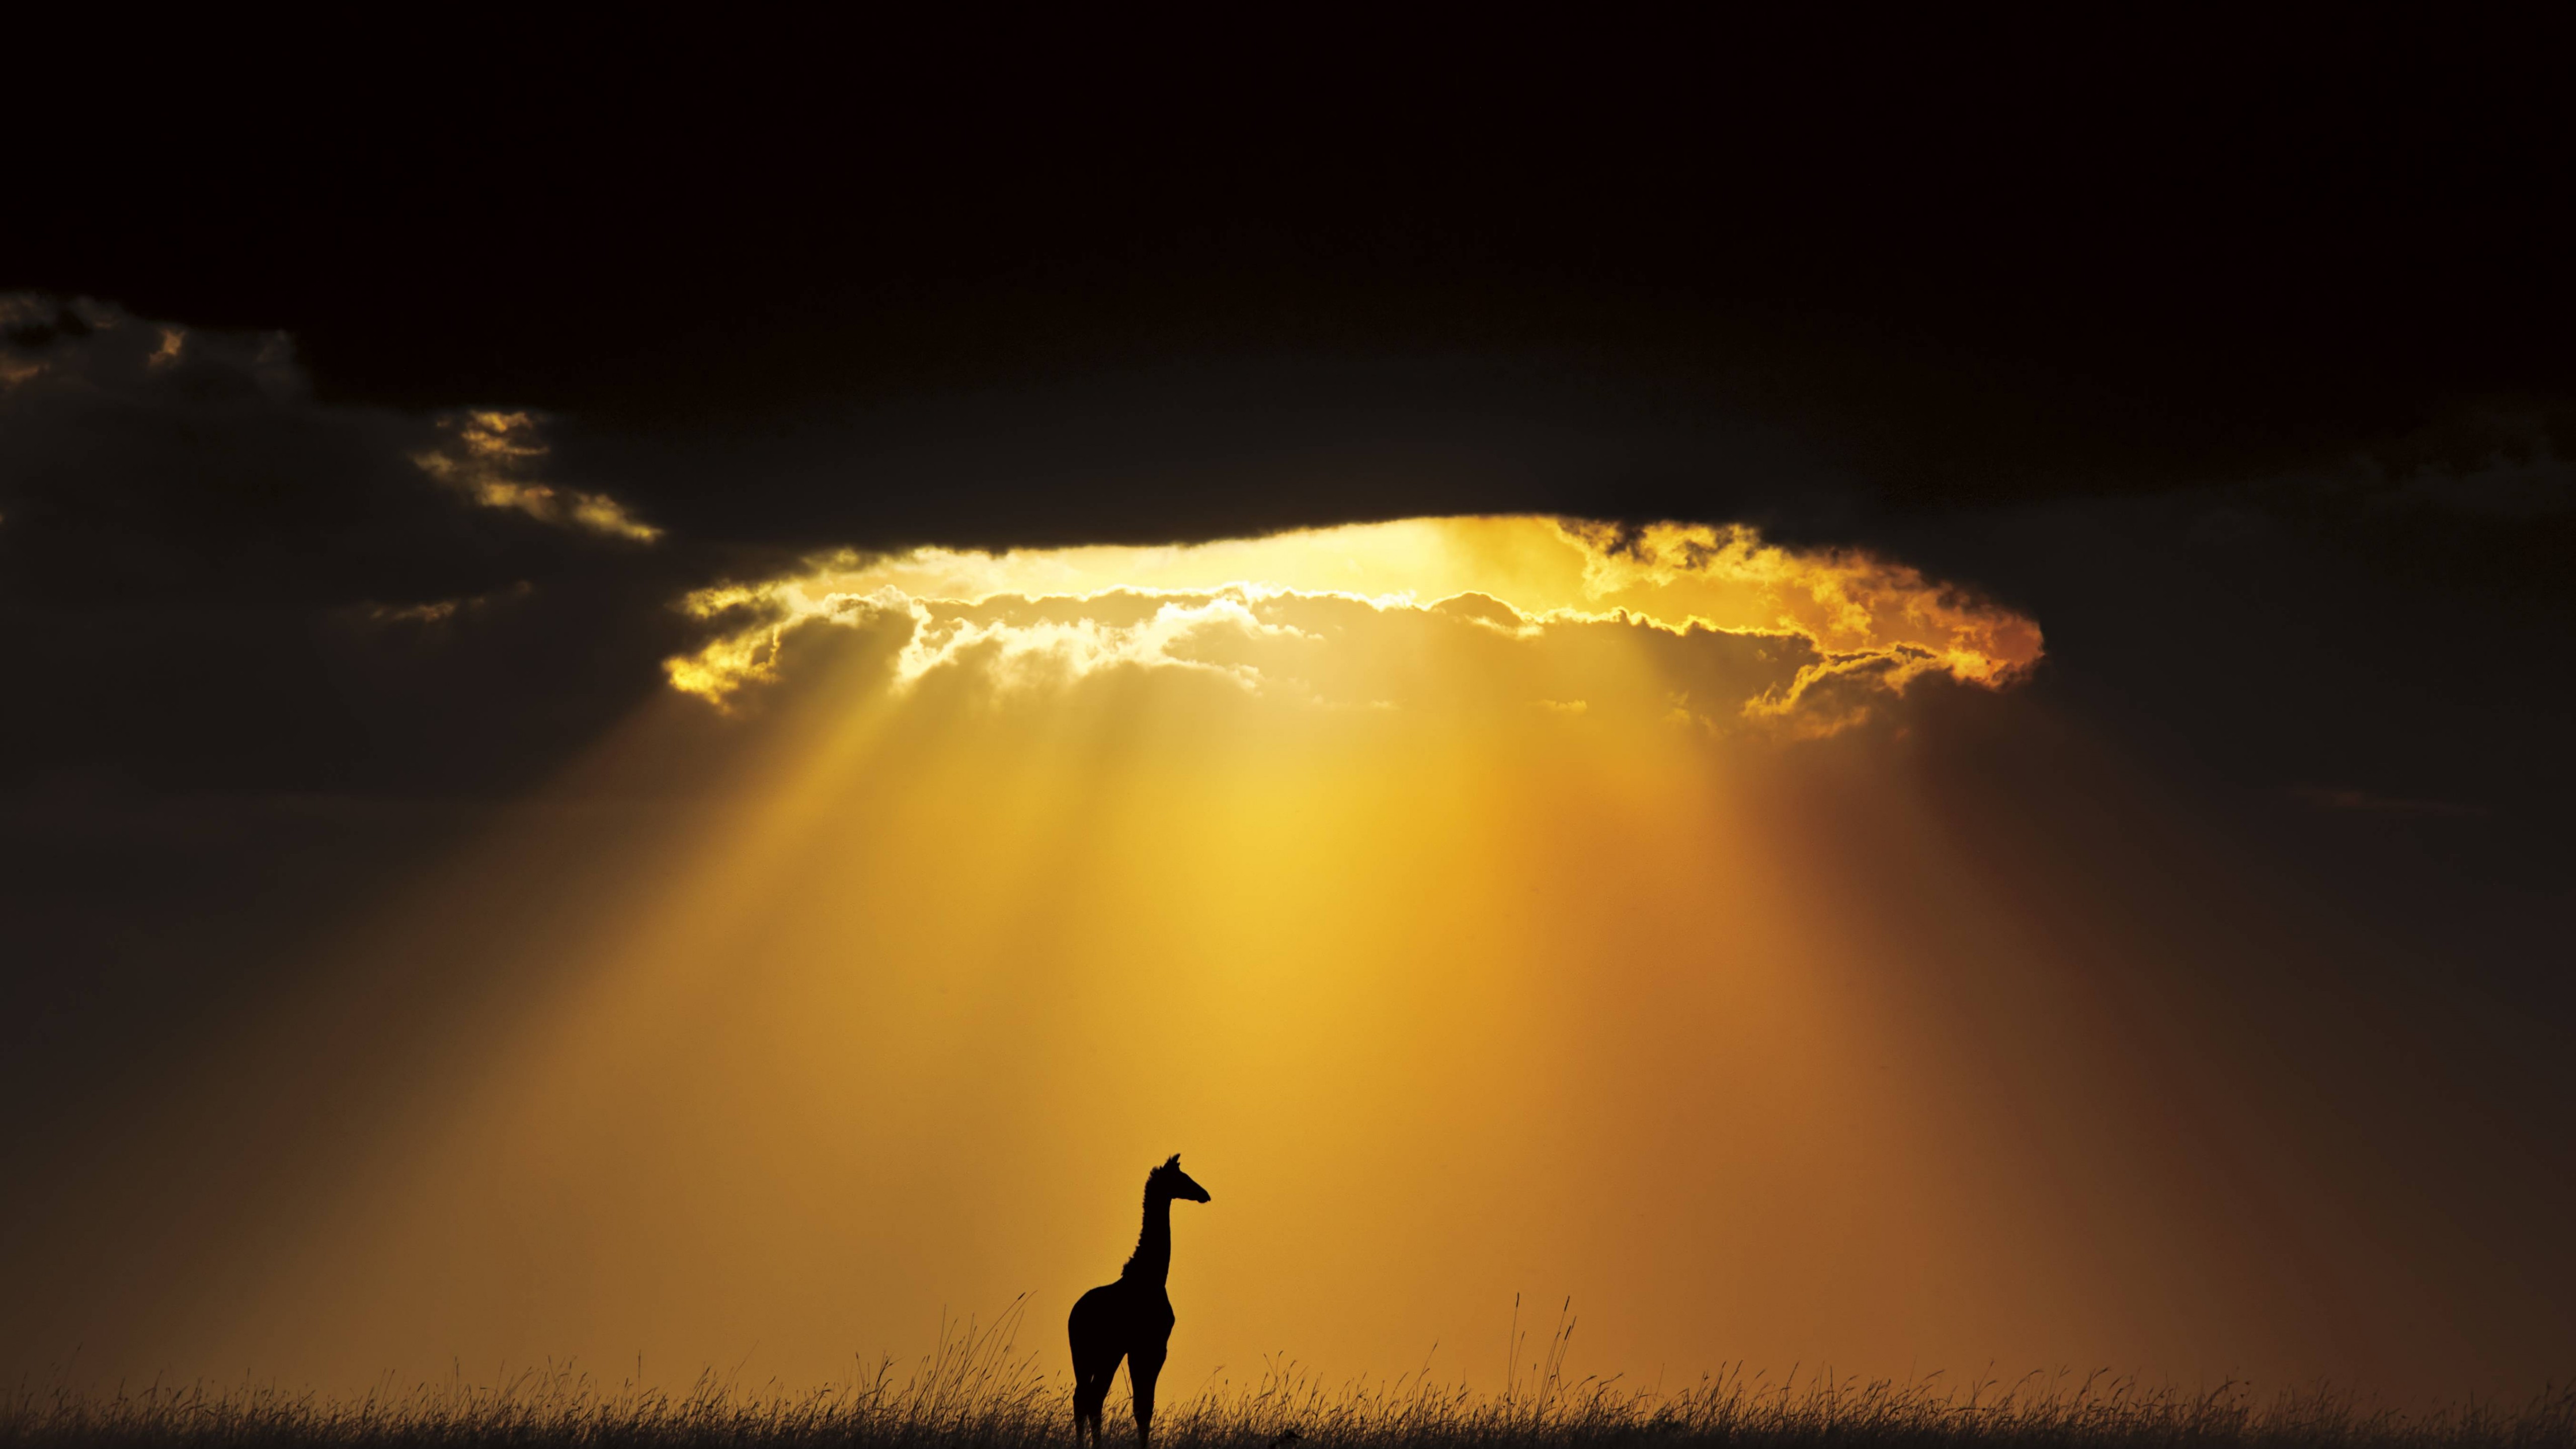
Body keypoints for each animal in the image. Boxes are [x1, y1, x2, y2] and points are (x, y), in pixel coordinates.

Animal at [1069, 1154, 1210, 1448]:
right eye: (1182, 1177)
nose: (1205, 1194)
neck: (1153, 1276)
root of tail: (1073, 1317)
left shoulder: (1139, 1349)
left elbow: (1143, 1406)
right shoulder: (1153, 1346)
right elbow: (1144, 1407)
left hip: (1085, 1354)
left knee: (1084, 1397)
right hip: (1105, 1352)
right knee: (1092, 1397)